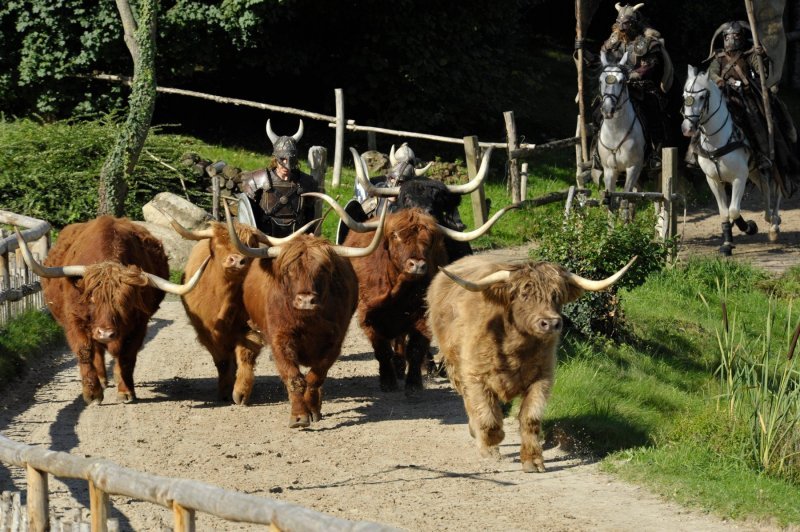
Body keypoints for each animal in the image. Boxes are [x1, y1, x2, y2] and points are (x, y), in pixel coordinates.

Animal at [596, 49, 648, 216]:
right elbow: (611, 200)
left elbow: (626, 197)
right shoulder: (609, 170)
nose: (608, 110)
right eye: (601, 81)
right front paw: (611, 224)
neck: (616, 133)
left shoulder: (633, 168)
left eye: (621, 81)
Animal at [680, 64, 780, 256]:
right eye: (684, 96)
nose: (687, 128)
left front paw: (748, 227)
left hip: (770, 167)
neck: (717, 140)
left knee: (774, 190)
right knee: (764, 188)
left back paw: (774, 225)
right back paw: (768, 218)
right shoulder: (713, 180)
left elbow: (734, 210)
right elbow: (724, 212)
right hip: (754, 171)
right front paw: (727, 242)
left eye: (702, 97)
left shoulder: (739, 178)